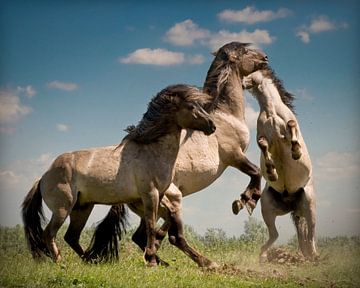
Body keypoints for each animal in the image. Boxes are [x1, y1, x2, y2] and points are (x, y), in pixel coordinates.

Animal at [20, 84, 217, 266]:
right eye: (191, 107)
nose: (212, 126)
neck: (152, 151)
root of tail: (43, 177)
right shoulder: (150, 194)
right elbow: (151, 226)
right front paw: (152, 260)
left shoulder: (158, 195)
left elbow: (162, 220)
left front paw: (155, 252)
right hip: (63, 208)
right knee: (49, 233)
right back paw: (61, 262)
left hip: (81, 208)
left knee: (71, 237)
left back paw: (91, 260)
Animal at [89, 41, 270, 266]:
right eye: (246, 51)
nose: (265, 58)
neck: (226, 115)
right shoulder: (234, 156)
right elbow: (256, 172)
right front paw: (246, 201)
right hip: (170, 200)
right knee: (171, 236)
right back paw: (204, 263)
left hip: (153, 207)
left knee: (142, 235)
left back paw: (161, 260)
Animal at [242, 66, 318, 262]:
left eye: (250, 71)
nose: (242, 83)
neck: (272, 112)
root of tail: (292, 204)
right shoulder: (262, 137)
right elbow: (263, 145)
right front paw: (272, 171)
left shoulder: (290, 126)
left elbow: (291, 126)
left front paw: (296, 151)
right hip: (267, 207)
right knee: (275, 234)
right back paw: (262, 257)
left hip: (309, 204)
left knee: (311, 232)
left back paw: (314, 255)